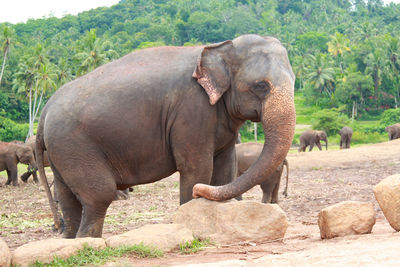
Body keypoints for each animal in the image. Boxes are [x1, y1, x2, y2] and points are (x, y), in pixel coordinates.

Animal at [36, 34, 296, 239]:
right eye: (261, 86)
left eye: (294, 81)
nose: (199, 192)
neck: (218, 47)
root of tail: (45, 111)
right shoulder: (191, 111)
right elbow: (196, 167)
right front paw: (190, 212)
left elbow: (224, 168)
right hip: (74, 146)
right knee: (99, 196)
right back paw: (88, 240)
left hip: (61, 152)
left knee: (68, 198)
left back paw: (70, 239)